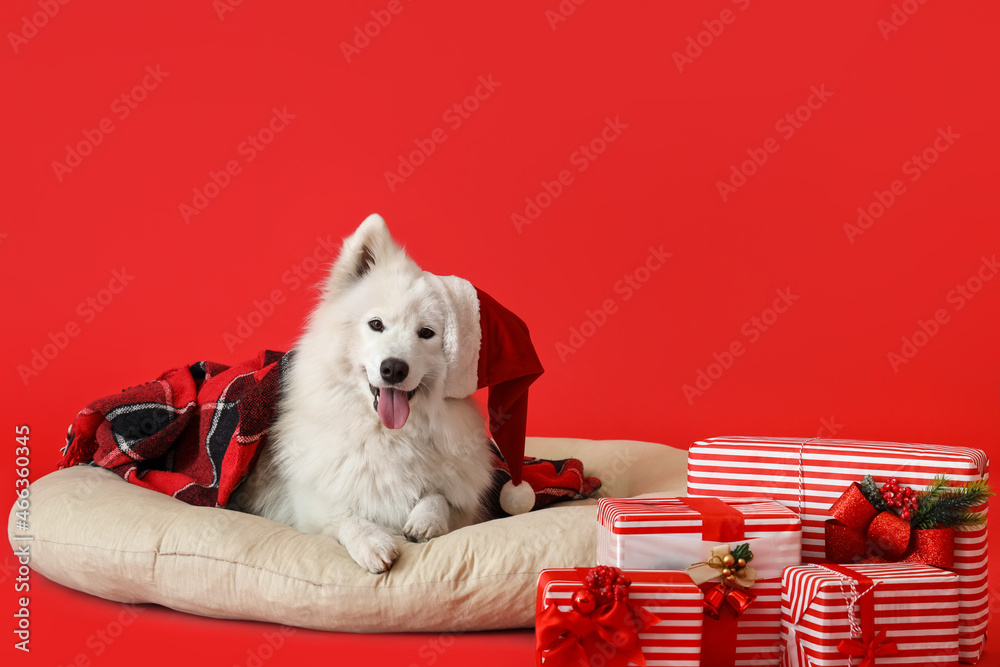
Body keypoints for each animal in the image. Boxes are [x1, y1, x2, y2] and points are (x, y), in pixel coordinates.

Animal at [238, 214, 496, 576]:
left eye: (426, 333)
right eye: (376, 324)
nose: (394, 369)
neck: (387, 435)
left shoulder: (463, 504)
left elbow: (439, 496)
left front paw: (425, 520)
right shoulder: (310, 508)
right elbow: (345, 515)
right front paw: (372, 543)